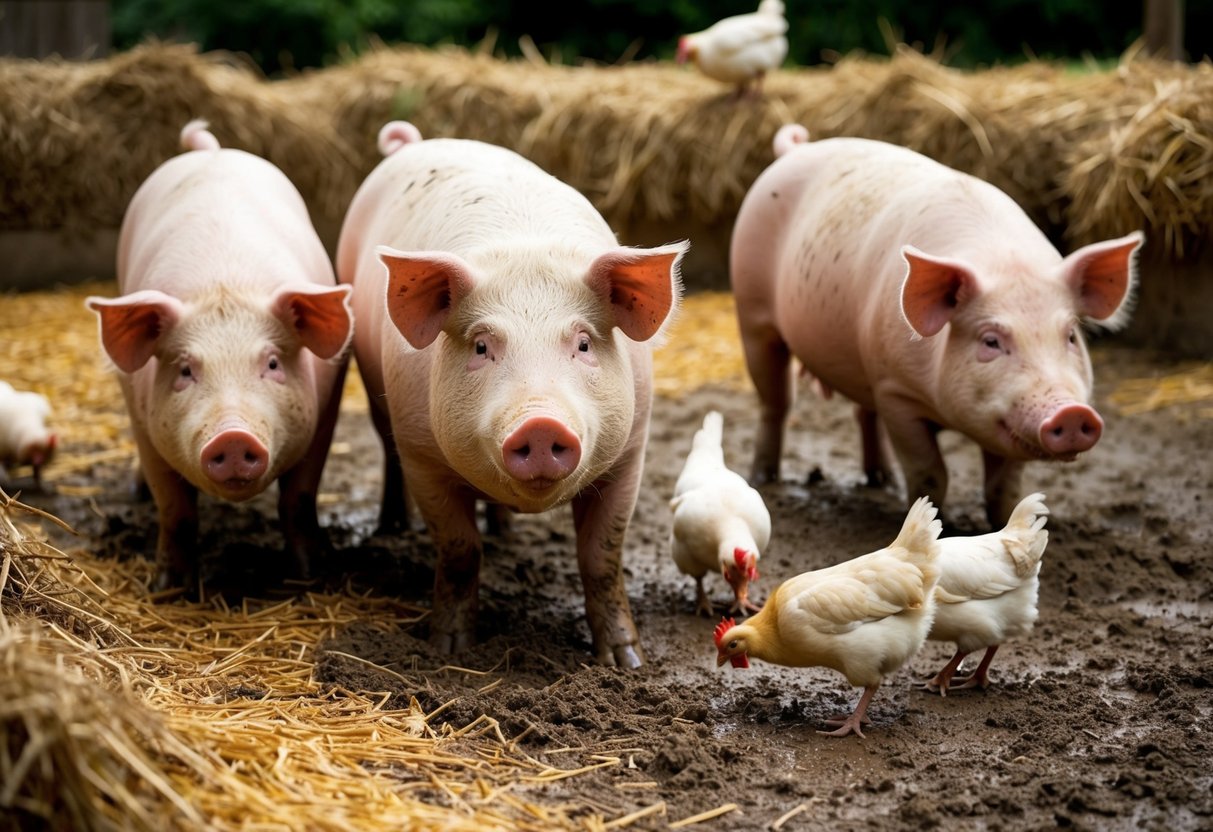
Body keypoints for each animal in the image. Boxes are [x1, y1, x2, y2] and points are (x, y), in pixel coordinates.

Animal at [86, 120, 354, 591]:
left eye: (272, 363)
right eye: (185, 370)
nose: (233, 437)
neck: (223, 284)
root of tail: (211, 150)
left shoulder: (326, 411)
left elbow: (299, 499)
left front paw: (312, 574)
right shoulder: (141, 419)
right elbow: (176, 510)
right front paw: (169, 588)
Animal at [337, 121, 687, 667]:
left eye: (583, 342)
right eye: (482, 345)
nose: (539, 423)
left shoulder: (632, 452)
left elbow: (602, 556)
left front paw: (626, 662)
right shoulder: (421, 455)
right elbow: (460, 549)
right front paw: (449, 649)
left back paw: (505, 530)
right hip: (378, 396)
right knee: (385, 451)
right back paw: (394, 526)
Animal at [731, 124, 1143, 526]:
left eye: (1070, 336)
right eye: (991, 341)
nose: (1072, 413)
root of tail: (796, 149)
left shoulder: (1004, 423)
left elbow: (1004, 488)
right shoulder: (896, 392)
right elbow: (930, 473)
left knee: (862, 412)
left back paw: (881, 481)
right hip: (753, 313)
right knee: (776, 402)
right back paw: (765, 478)